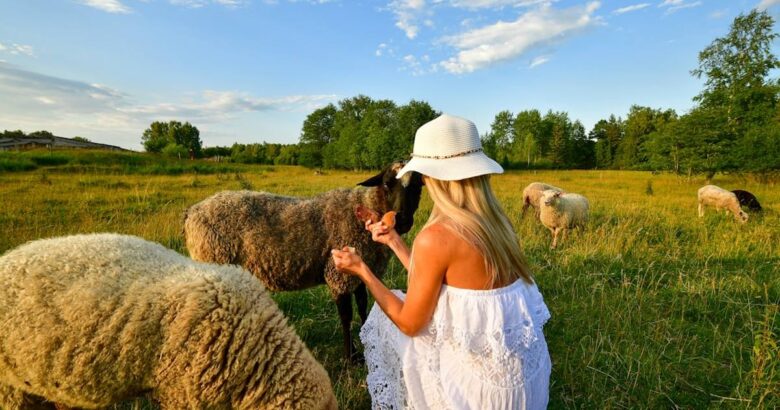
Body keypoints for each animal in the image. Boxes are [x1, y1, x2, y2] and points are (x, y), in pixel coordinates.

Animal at [184, 161, 423, 362]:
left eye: (417, 186)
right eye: (387, 183)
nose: (402, 220)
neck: (364, 210)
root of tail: (191, 212)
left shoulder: (361, 273)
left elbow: (363, 306)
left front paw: (366, 344)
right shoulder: (338, 275)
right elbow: (346, 316)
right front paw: (350, 358)